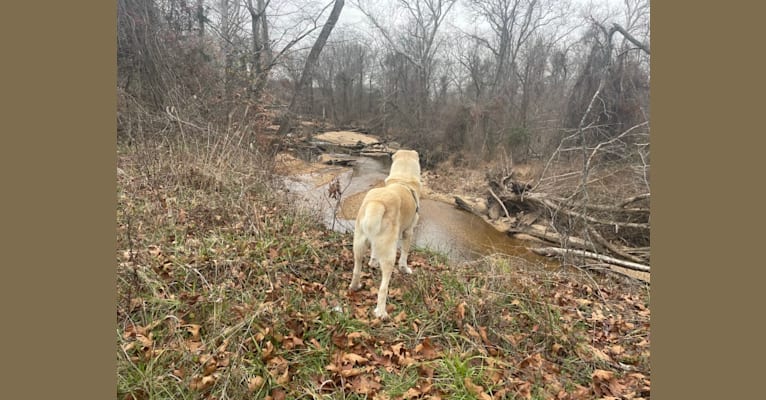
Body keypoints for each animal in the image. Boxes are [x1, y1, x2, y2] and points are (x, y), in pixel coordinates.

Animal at [352, 148, 424, 320]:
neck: (403, 178)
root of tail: (377, 203)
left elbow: (374, 253)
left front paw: (373, 262)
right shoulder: (408, 232)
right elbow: (405, 254)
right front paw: (405, 268)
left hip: (358, 244)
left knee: (356, 269)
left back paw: (355, 286)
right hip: (389, 256)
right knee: (383, 287)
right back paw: (381, 312)